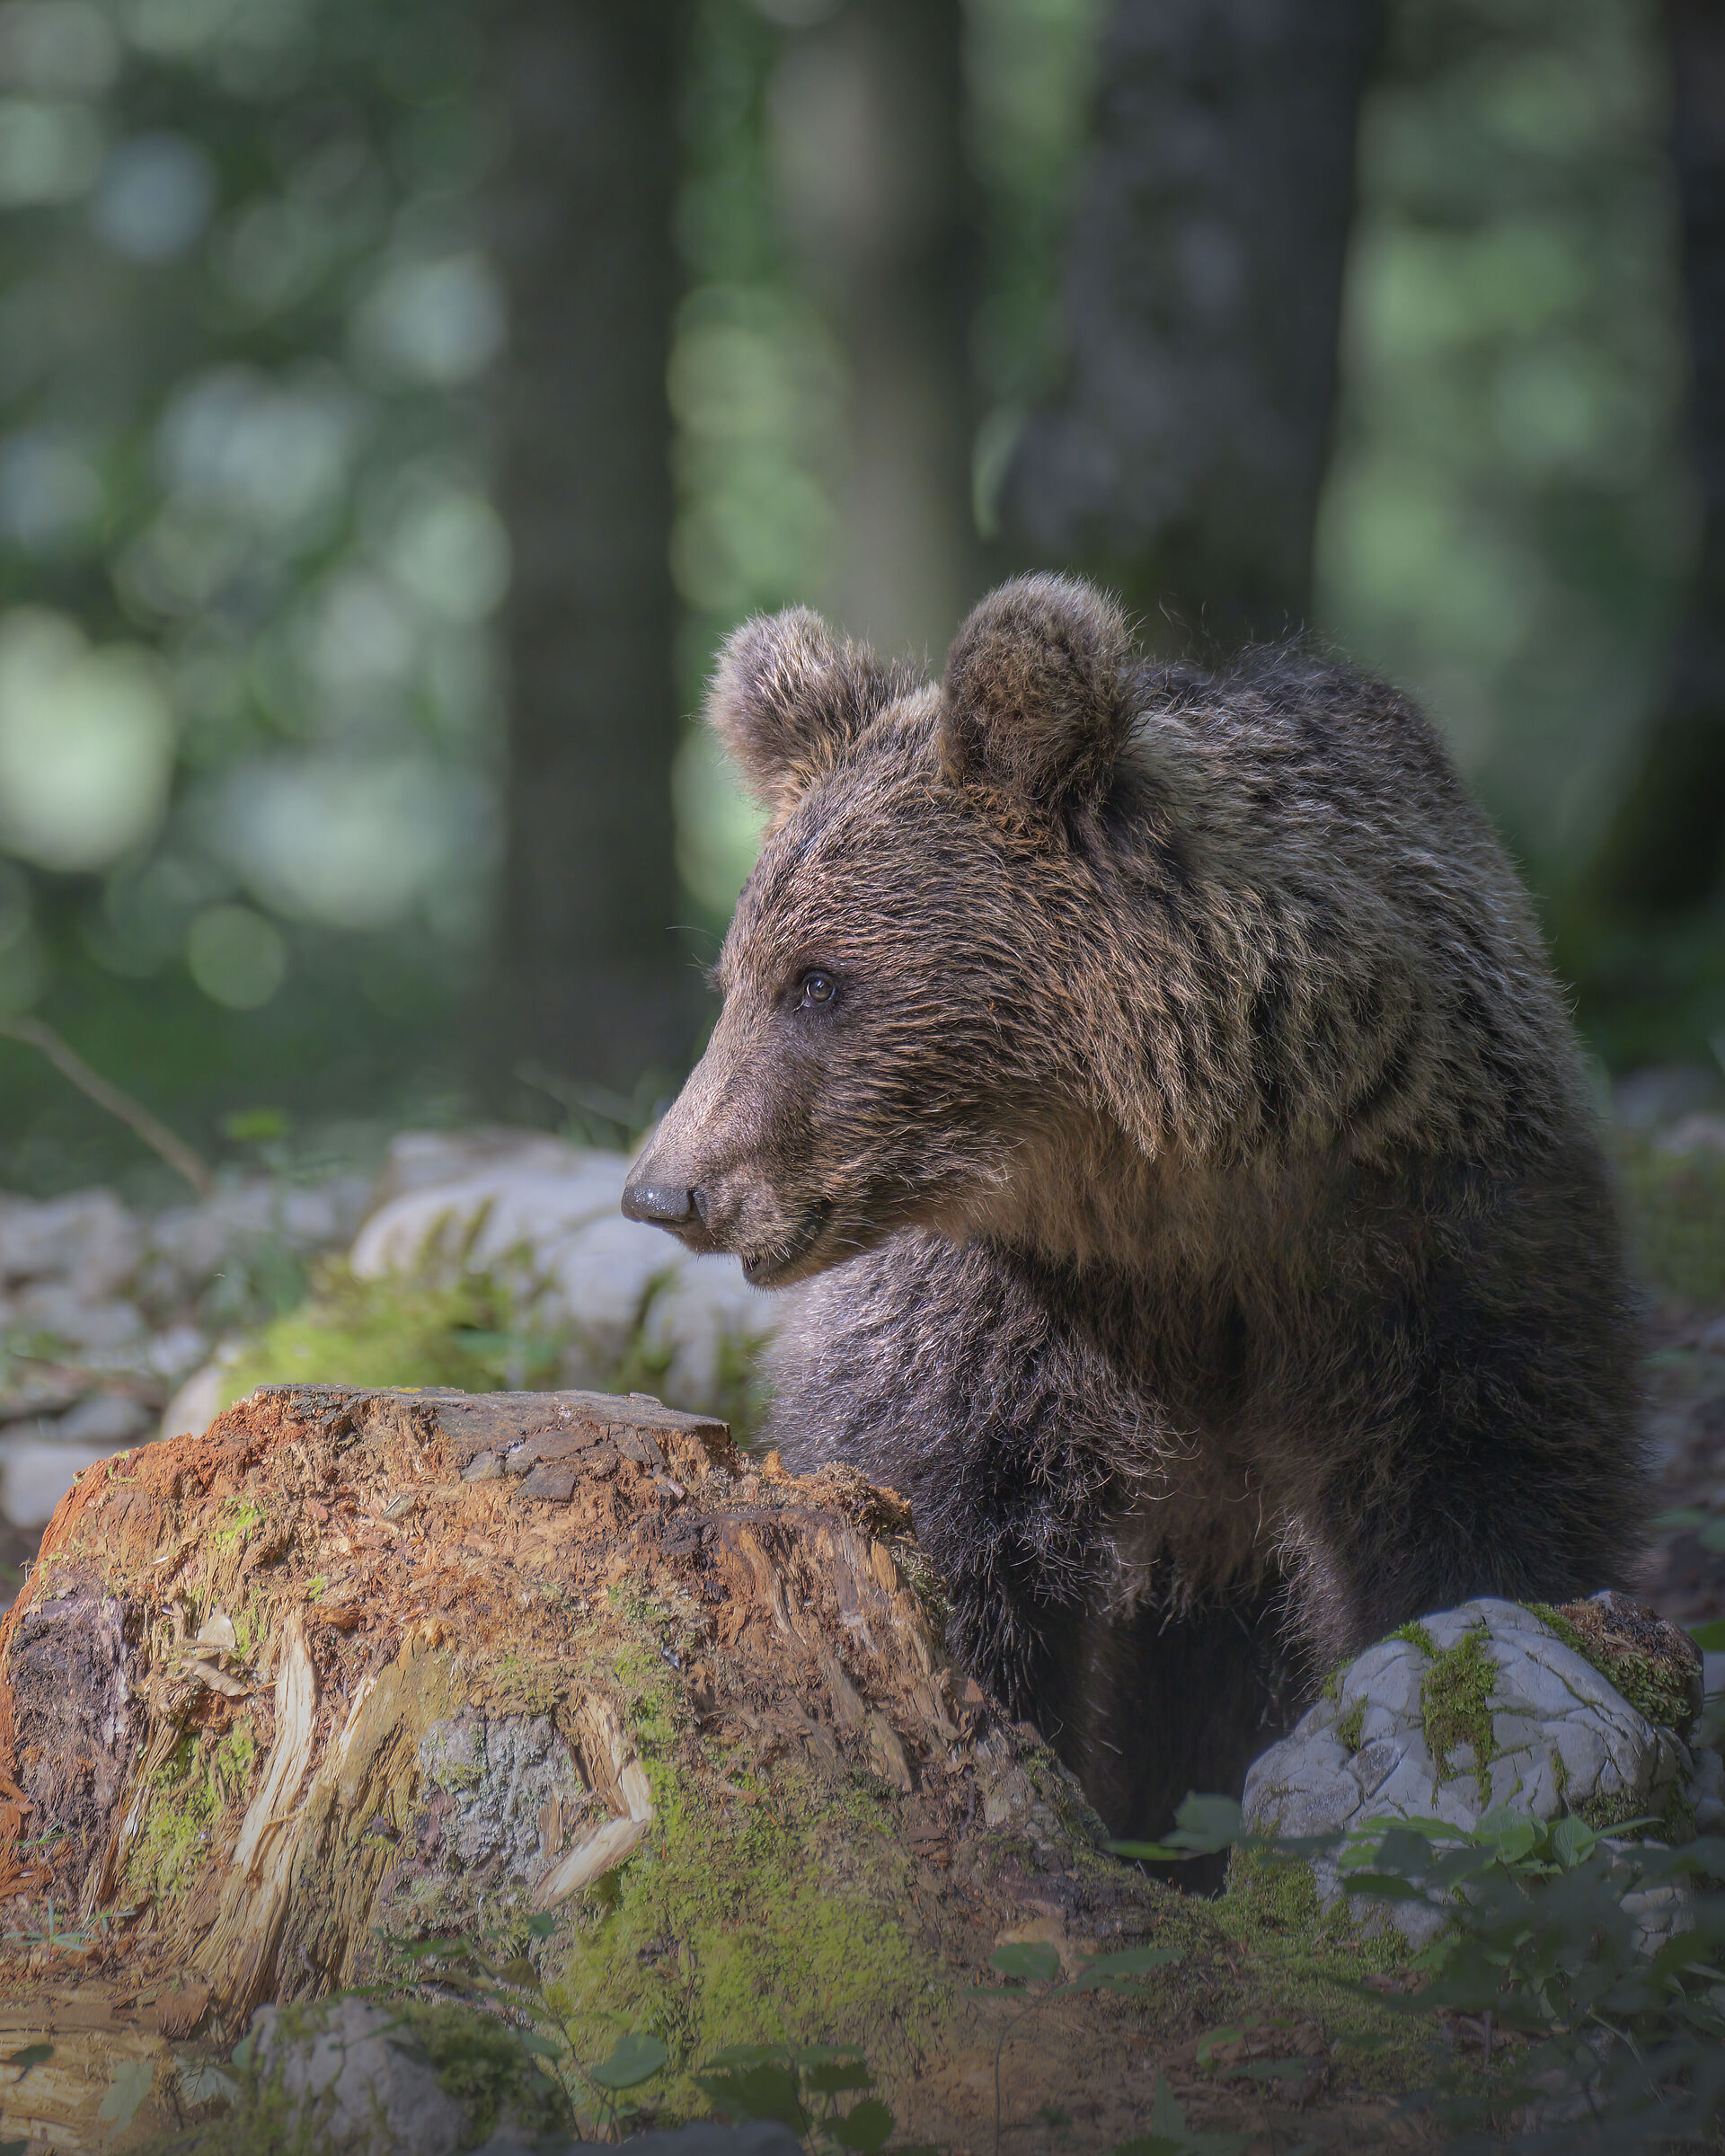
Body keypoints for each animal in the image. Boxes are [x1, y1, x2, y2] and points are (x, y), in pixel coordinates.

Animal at [623, 573, 1645, 1844]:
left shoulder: (1416, 1238)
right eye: (737, 976)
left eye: (818, 982)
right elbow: (949, 1515)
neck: (1177, 1190)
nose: (668, 1188)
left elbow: (1476, 1495)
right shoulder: (1004, 1305)